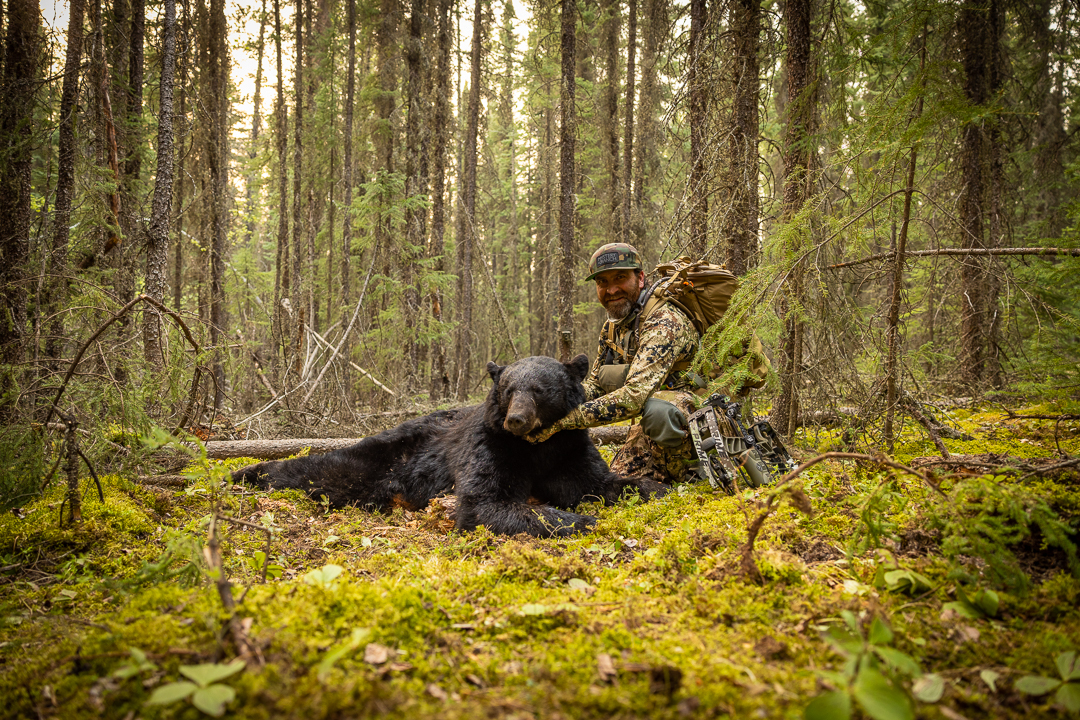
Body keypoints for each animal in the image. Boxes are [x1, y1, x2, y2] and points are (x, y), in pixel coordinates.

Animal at [232, 355, 668, 537]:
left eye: (540, 390)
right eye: (508, 390)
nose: (515, 420)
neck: (534, 445)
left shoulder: (566, 447)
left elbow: (596, 481)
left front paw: (657, 487)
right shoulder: (491, 446)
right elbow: (484, 502)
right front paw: (579, 520)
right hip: (384, 458)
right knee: (324, 469)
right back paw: (247, 471)